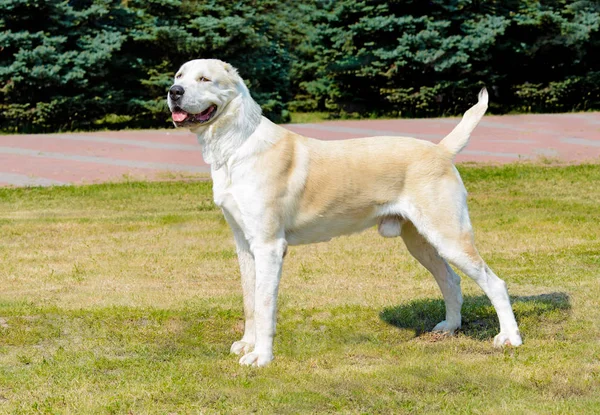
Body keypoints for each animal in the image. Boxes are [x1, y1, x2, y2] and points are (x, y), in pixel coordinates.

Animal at [168, 59, 520, 368]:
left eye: (204, 79)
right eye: (179, 75)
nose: (173, 91)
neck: (235, 146)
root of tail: (441, 150)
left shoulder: (268, 246)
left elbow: (265, 305)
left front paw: (261, 357)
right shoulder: (244, 244)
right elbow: (250, 301)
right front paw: (248, 344)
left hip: (449, 235)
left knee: (495, 283)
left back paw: (510, 338)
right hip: (420, 241)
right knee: (451, 280)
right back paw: (450, 327)